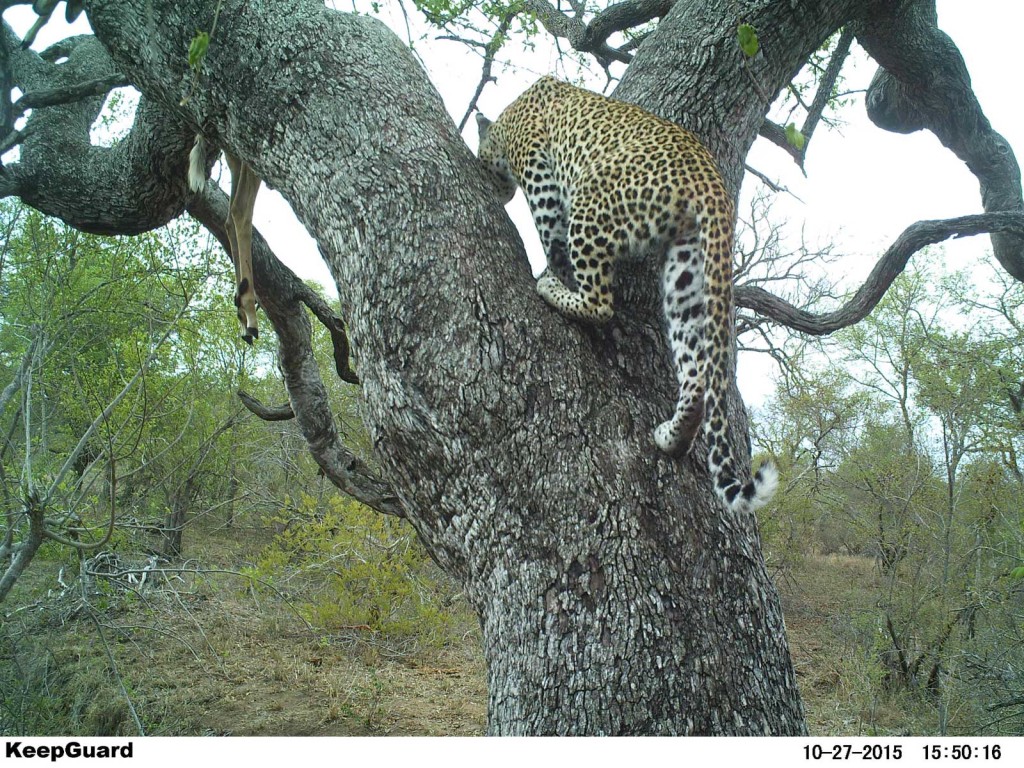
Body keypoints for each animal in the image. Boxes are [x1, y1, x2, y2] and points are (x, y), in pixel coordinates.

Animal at [475, 76, 777, 513]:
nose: (499, 194)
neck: (508, 117)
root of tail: (711, 178)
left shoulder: (537, 170)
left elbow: (552, 240)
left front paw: (550, 271)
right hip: (686, 268)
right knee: (696, 378)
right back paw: (672, 437)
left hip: (591, 198)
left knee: (600, 303)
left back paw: (554, 290)